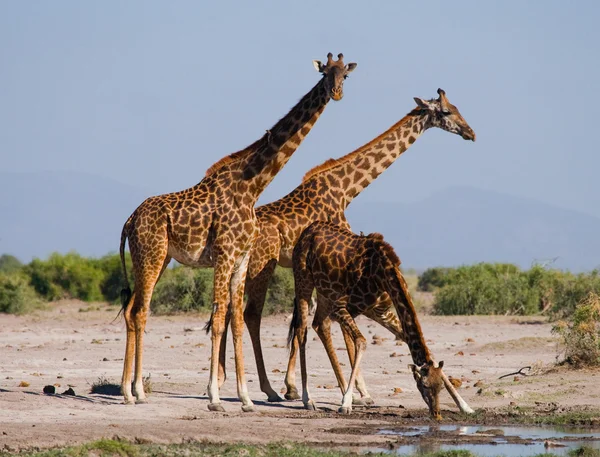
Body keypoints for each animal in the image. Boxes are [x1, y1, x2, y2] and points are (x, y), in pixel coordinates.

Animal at [117, 51, 356, 412]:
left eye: (346, 74)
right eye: (325, 72)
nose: (337, 92)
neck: (253, 186)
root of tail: (129, 220)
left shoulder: (242, 258)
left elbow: (239, 321)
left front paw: (245, 398)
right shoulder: (225, 254)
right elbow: (219, 318)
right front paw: (215, 398)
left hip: (155, 260)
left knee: (132, 310)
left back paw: (127, 390)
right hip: (151, 254)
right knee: (141, 311)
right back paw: (137, 392)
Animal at [288, 221, 476, 416]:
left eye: (439, 386)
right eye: (423, 385)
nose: (436, 413)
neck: (383, 273)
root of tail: (308, 231)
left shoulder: (380, 311)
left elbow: (417, 345)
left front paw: (465, 406)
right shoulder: (341, 307)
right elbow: (361, 342)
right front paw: (346, 404)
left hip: (325, 292)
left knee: (320, 325)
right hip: (304, 279)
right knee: (302, 329)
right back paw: (308, 399)